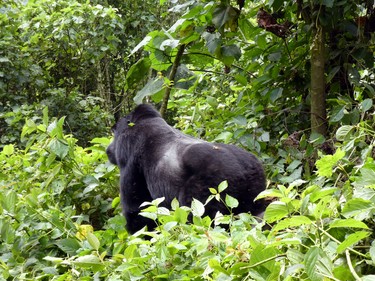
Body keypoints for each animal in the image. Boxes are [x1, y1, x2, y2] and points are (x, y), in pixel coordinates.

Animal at [106, 104, 268, 233]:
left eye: (114, 134)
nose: (108, 149)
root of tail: (243, 168)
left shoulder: (127, 150)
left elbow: (137, 210)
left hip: (212, 187)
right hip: (256, 181)